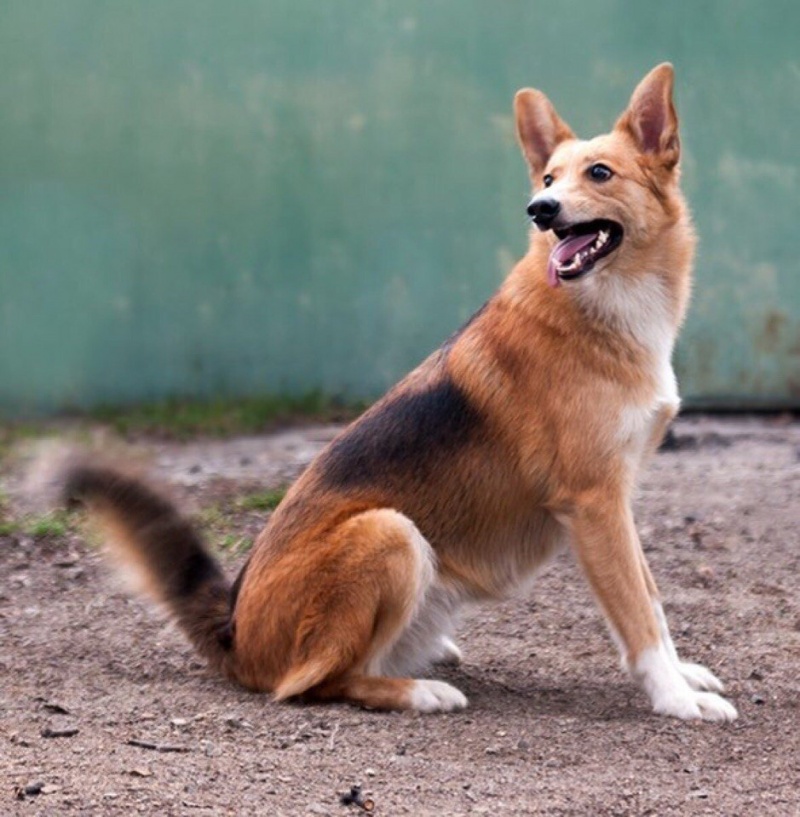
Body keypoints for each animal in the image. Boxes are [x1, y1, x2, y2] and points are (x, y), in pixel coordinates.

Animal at [48, 67, 736, 724]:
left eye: (599, 173)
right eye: (548, 177)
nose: (539, 209)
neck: (604, 310)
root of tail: (234, 630)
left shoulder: (616, 501)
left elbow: (652, 599)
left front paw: (683, 676)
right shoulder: (595, 504)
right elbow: (638, 614)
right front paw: (675, 698)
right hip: (391, 532)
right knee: (316, 683)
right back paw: (420, 691)